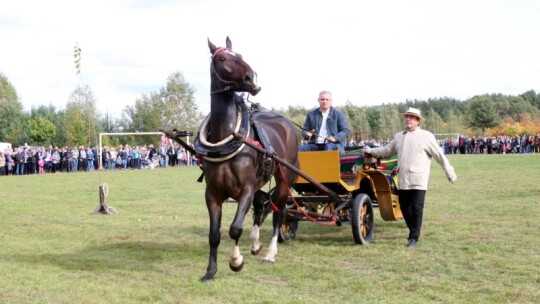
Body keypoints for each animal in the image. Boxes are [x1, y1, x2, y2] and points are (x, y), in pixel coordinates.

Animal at [197, 36, 300, 282]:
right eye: (222, 59)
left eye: (241, 56)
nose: (252, 79)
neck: (228, 136)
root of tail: (286, 123)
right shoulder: (212, 194)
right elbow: (214, 234)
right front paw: (210, 271)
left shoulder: (245, 188)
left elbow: (235, 228)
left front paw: (236, 261)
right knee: (261, 205)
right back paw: (255, 244)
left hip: (284, 177)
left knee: (279, 212)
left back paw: (270, 253)